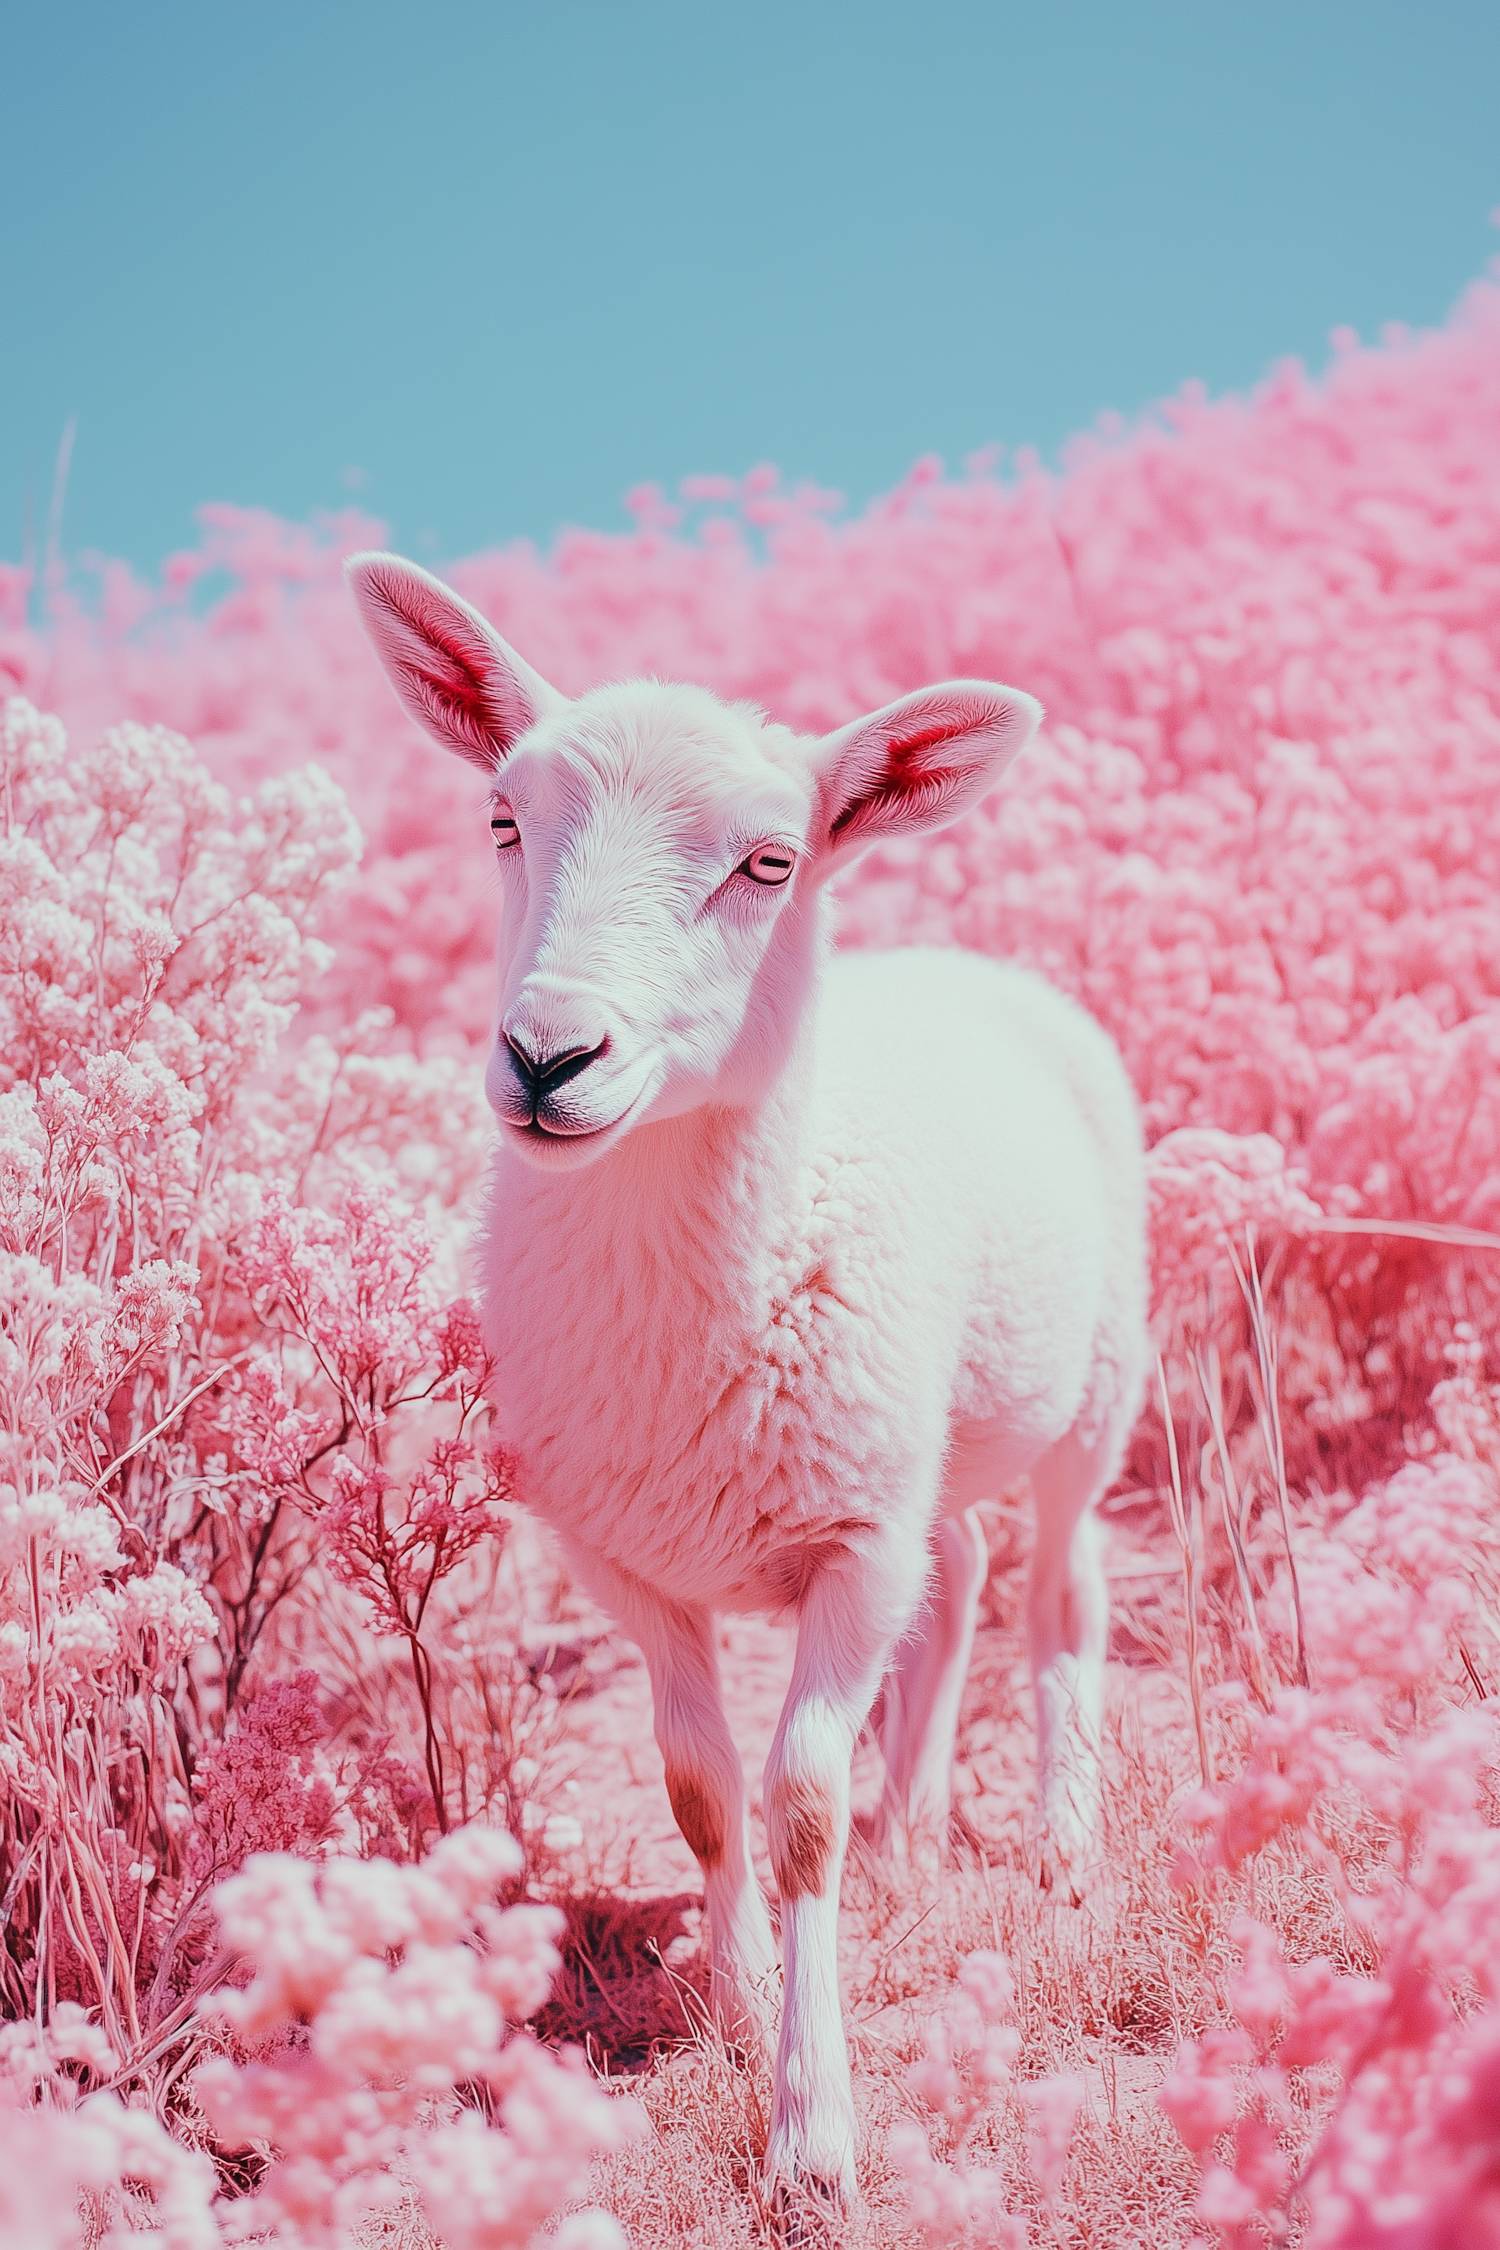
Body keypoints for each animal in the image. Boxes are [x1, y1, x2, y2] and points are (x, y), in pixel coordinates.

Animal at [353, 549, 1151, 2214]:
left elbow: (800, 1816)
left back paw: (1061, 1844)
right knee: (957, 1580)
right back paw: (918, 1835)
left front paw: (812, 2123)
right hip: (920, 1441)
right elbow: (702, 1792)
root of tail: (959, 955)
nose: (548, 1055)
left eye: (772, 863)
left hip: (1094, 1394)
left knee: (1058, 1601)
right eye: (503, 820)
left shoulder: (848, 1546)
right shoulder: (630, 1558)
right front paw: (731, 2001)